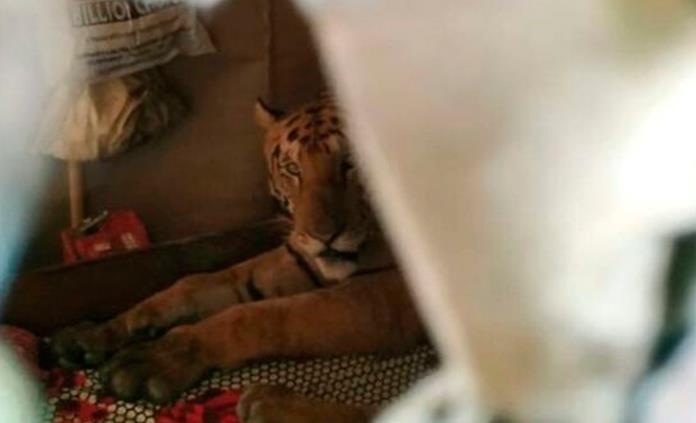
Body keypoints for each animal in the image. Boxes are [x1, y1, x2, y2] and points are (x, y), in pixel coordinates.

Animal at [50, 94, 426, 422]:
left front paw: (158, 358)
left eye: (352, 163)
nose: (323, 236)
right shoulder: (298, 258)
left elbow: (259, 316)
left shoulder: (386, 296)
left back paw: (271, 405)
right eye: (293, 168)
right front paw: (98, 333)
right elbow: (199, 284)